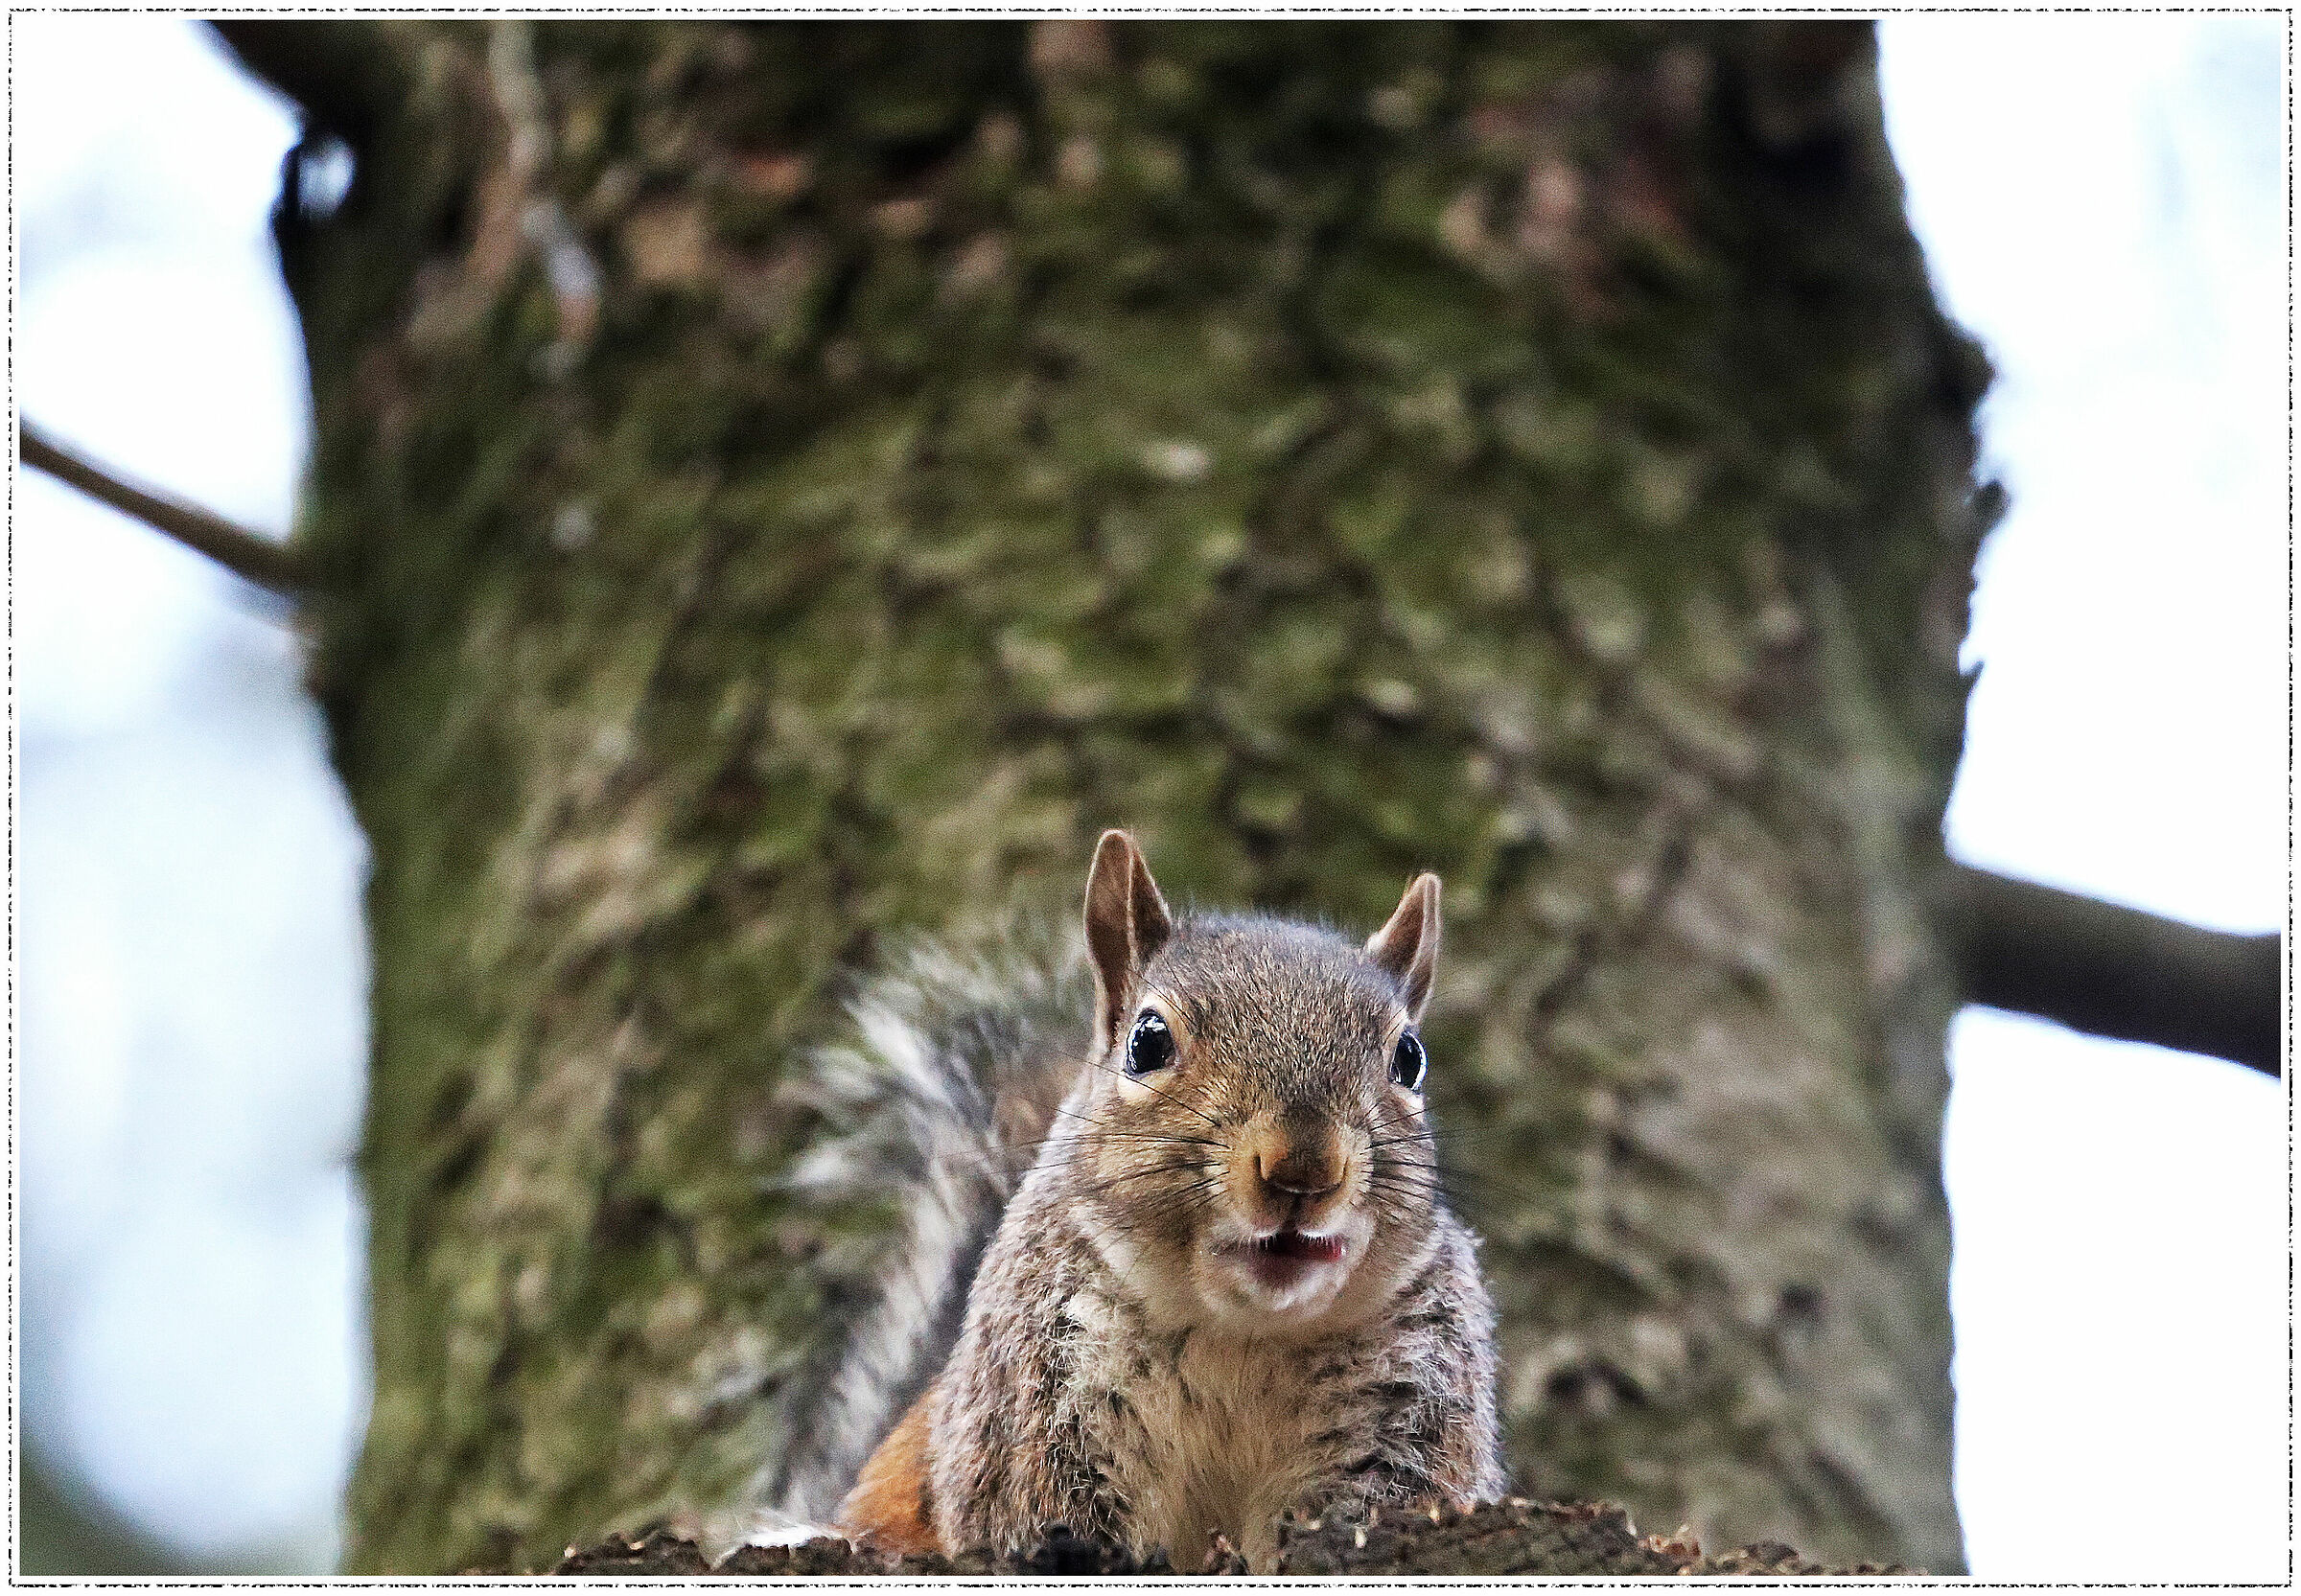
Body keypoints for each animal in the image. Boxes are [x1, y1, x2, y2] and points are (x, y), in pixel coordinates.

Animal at [745, 830, 1503, 1572]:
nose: (1305, 1169)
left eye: (1409, 1058)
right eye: (1148, 1040)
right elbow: (1042, 1514)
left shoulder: (1412, 1400)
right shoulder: (1040, 1406)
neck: (1241, 1334)